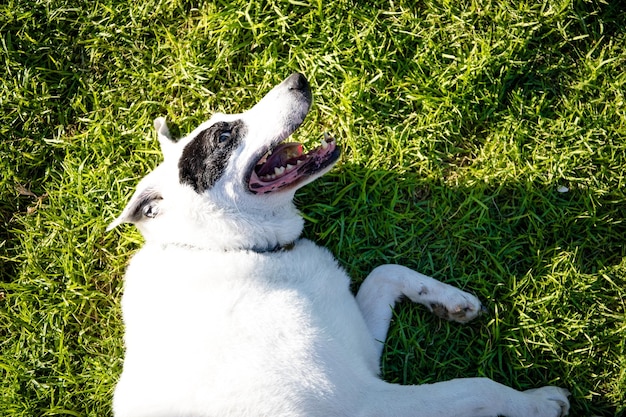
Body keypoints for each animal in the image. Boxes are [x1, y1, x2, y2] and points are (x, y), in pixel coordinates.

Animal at [109, 73, 568, 414]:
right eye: (223, 137)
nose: (298, 78)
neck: (233, 249)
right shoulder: (367, 400)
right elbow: (477, 387)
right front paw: (536, 402)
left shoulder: (361, 349)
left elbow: (385, 272)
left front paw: (451, 301)